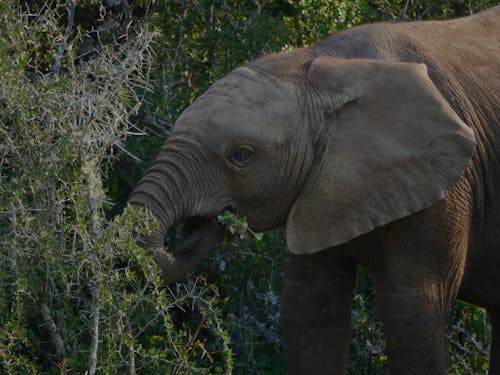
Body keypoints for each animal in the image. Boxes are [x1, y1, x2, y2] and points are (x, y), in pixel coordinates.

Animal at [130, 6, 500, 375]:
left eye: (241, 156)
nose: (208, 222)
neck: (323, 68)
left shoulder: (446, 187)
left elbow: (410, 316)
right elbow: (310, 309)